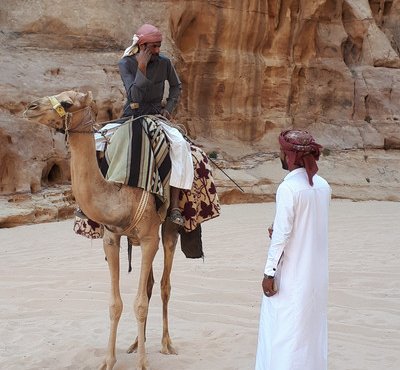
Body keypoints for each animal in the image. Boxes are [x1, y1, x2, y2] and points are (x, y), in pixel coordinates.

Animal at [22, 90, 182, 370]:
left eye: (67, 103)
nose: (30, 107)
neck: (121, 193)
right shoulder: (112, 238)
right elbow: (115, 304)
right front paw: (109, 360)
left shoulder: (149, 237)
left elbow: (140, 303)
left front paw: (143, 363)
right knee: (151, 284)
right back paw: (134, 344)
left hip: (168, 228)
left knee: (164, 284)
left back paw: (166, 344)